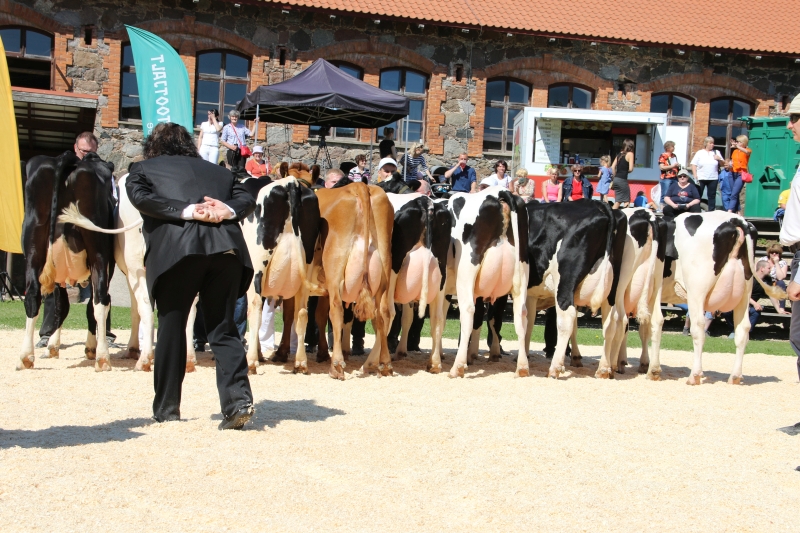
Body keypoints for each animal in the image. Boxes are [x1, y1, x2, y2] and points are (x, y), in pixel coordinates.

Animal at [18, 151, 135, 371]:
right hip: (98, 252)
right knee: (100, 299)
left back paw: (26, 357)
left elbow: (61, 306)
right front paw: (89, 347)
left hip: (33, 245)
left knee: (32, 296)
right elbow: (81, 306)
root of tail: (68, 159)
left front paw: (53, 346)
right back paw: (102, 357)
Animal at [445, 186, 529, 378]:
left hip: (466, 271)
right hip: (520, 275)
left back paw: (457, 367)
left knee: (468, 310)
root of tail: (500, 192)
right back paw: (521, 367)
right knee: (518, 314)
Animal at [522, 200, 627, 379]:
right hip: (613, 288)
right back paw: (604, 369)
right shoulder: (532, 293)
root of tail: (599, 206)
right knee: (611, 322)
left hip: (565, 281)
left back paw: (555, 368)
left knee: (567, 318)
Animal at [658, 211, 783, 385]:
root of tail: (735, 219)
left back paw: (694, 375)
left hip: (696, 289)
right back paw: (735, 377)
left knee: (698, 327)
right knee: (743, 329)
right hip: (745, 291)